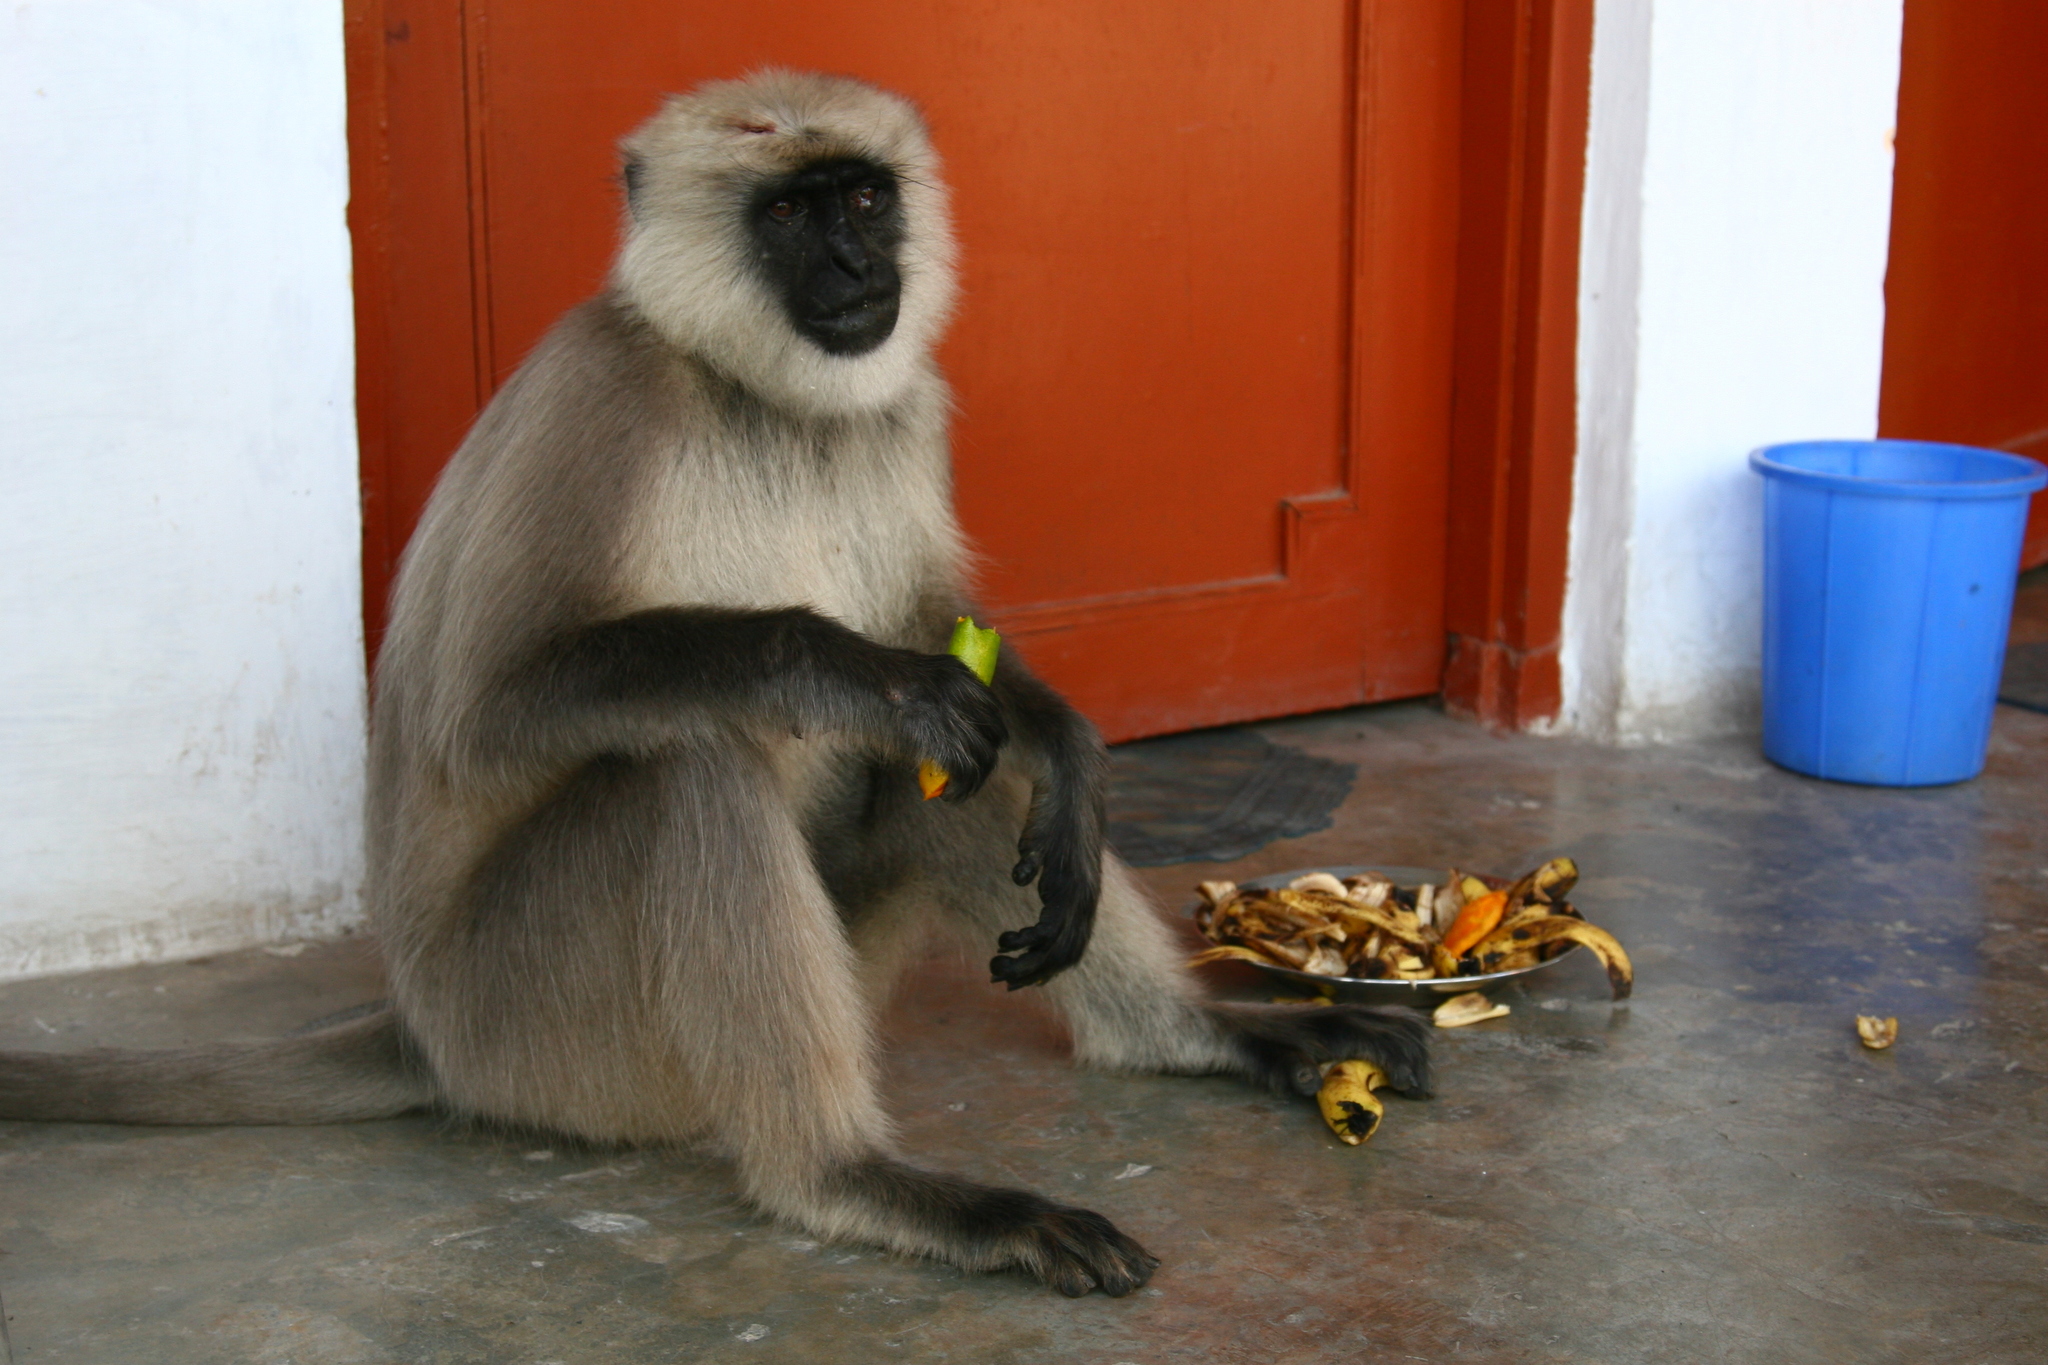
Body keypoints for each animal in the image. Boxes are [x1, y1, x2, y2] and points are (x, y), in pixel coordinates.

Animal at [0, 69, 1433, 1301]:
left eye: (862, 199)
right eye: (789, 215)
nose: (857, 268)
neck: (764, 398)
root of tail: (423, 1028)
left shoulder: (902, 407)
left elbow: (950, 640)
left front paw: (1070, 758)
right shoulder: (605, 398)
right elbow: (492, 706)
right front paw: (868, 677)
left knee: (960, 777)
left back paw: (1193, 1035)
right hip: (540, 1028)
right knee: (686, 767)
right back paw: (854, 1179)